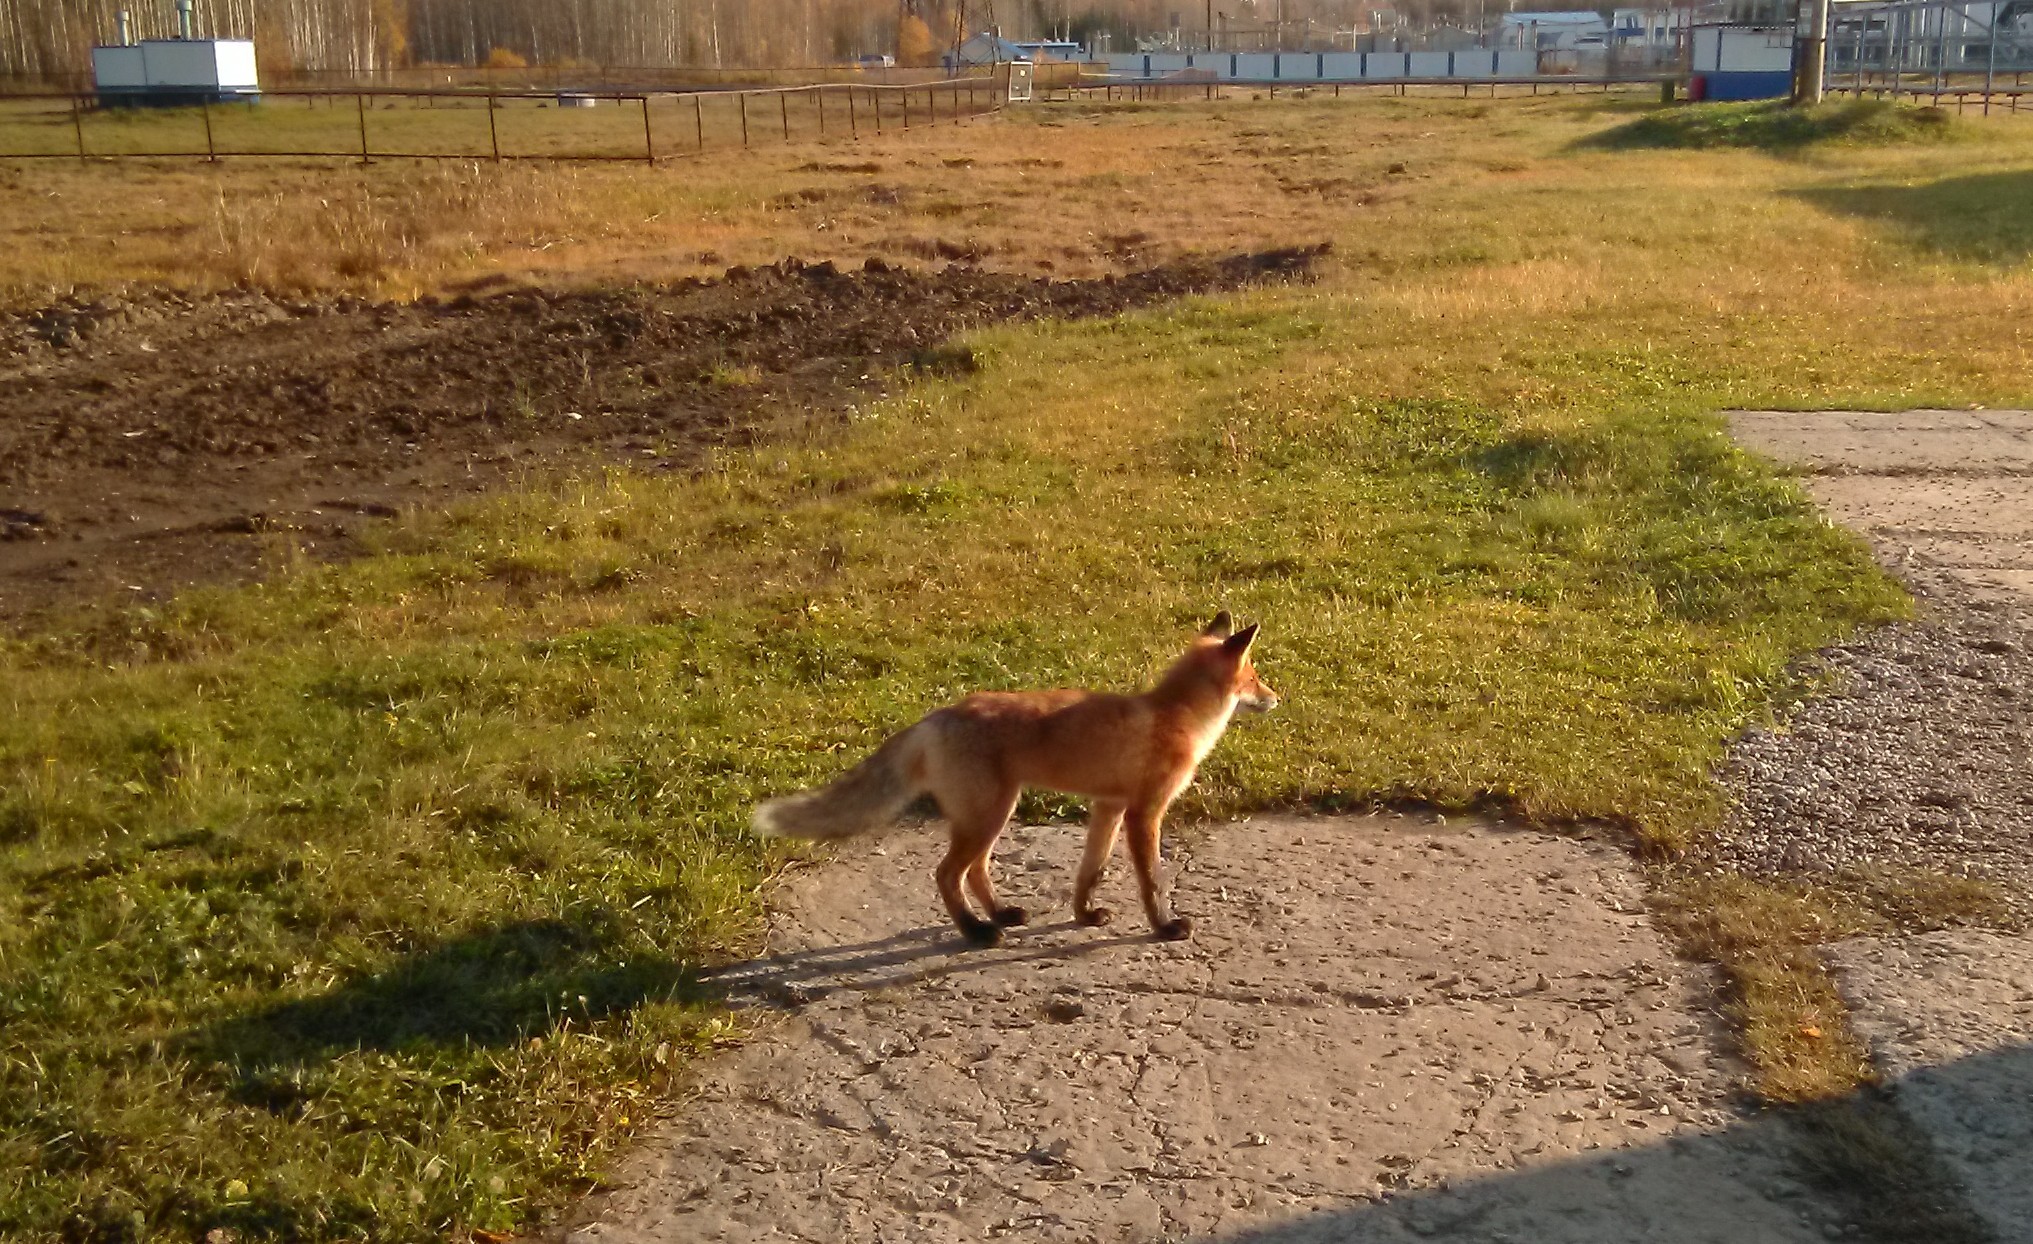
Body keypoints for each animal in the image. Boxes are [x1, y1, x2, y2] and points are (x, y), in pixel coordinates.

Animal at [756, 609, 1276, 943]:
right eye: (1254, 677)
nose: (1278, 698)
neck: (1174, 715)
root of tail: (937, 715)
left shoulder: (1107, 807)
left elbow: (1090, 872)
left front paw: (1084, 915)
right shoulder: (1143, 813)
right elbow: (1152, 881)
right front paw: (1164, 927)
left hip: (991, 815)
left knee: (976, 870)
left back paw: (1000, 915)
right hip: (989, 814)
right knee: (947, 874)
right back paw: (976, 932)